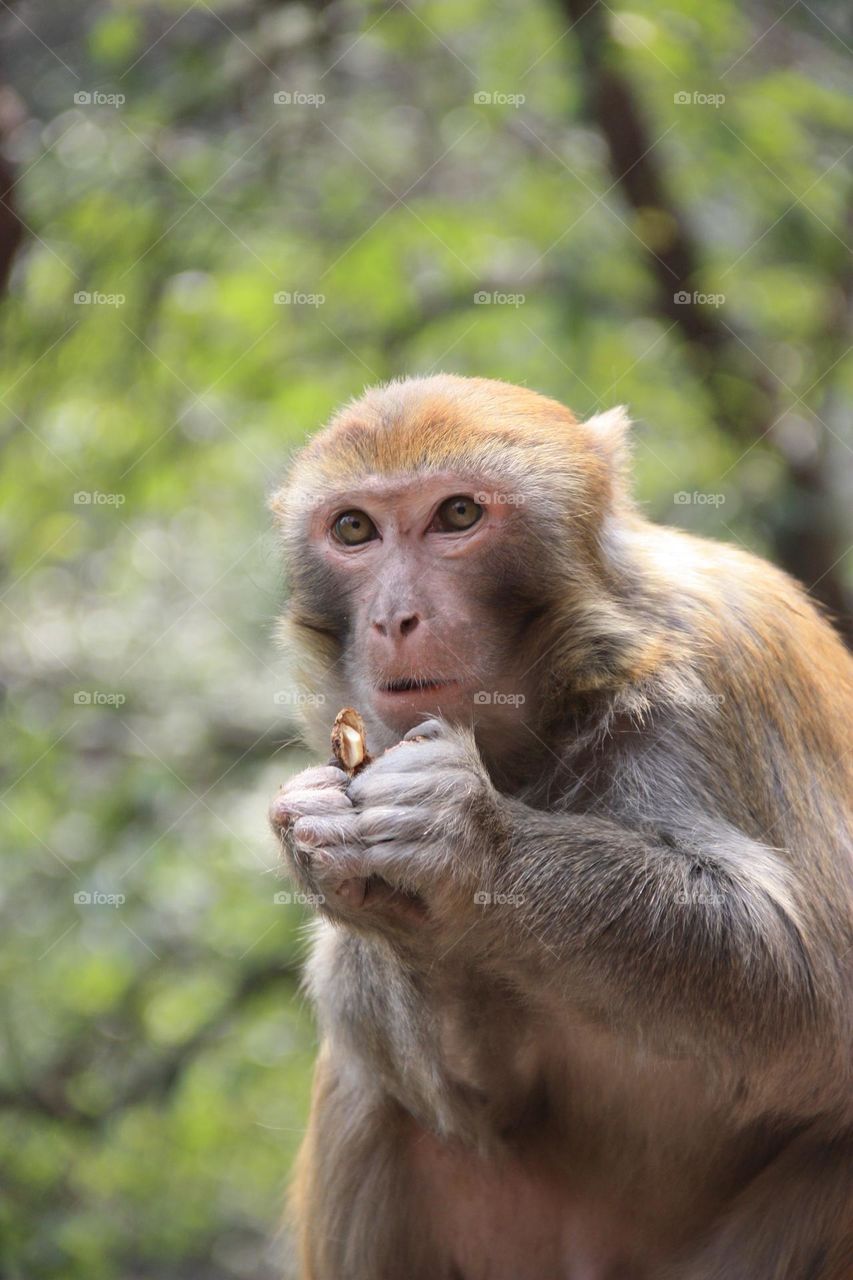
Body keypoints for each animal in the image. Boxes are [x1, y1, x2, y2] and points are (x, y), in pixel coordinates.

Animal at [268, 374, 853, 1280]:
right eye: (354, 529)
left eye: (458, 515)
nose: (393, 618)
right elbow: (476, 1096)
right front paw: (337, 856)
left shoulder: (717, 673)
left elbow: (817, 992)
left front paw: (467, 840)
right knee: (376, 1097)